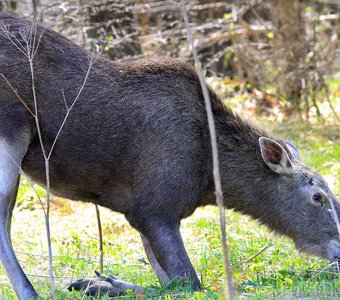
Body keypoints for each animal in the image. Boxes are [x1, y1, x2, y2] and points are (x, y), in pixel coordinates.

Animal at [0, 11, 340, 298]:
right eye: (317, 197)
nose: (339, 251)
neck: (209, 180)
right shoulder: (154, 210)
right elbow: (189, 284)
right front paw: (101, 283)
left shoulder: (145, 212)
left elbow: (169, 281)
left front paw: (100, 283)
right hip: (11, 132)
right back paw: (30, 292)